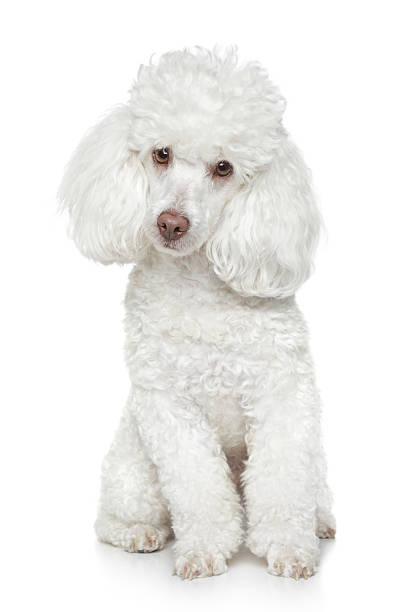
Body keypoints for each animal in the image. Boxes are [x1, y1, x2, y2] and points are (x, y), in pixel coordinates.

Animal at [59, 46, 336, 580]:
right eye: (161, 153)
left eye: (224, 167)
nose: (171, 223)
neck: (200, 290)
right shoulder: (168, 404)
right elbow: (199, 486)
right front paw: (205, 550)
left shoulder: (282, 393)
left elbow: (283, 480)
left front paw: (289, 547)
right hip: (135, 467)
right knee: (113, 517)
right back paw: (137, 533)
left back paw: (320, 521)